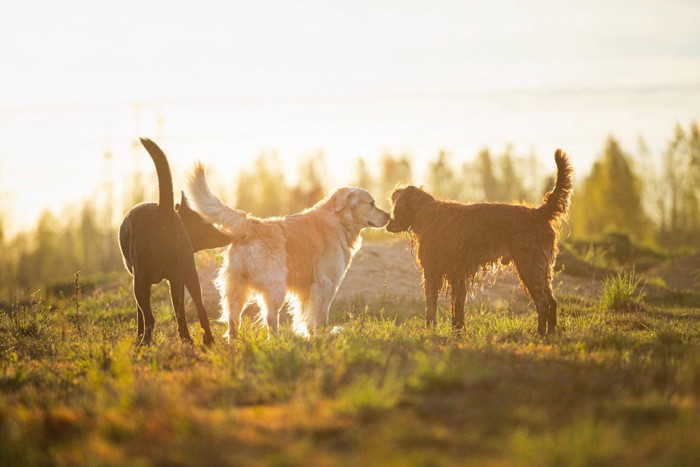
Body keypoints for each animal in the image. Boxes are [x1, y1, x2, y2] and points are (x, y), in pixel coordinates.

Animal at [118, 137, 230, 346]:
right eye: (207, 222)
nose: (228, 235)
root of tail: (164, 211)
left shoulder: (140, 279)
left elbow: (139, 315)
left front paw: (138, 335)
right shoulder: (177, 280)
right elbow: (180, 312)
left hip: (141, 282)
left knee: (150, 318)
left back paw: (145, 343)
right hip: (190, 274)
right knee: (200, 309)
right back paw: (202, 340)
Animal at [186, 165, 392, 340]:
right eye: (372, 203)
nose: (389, 215)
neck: (340, 221)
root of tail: (252, 224)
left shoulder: (306, 289)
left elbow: (306, 315)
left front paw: (310, 336)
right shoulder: (326, 283)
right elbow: (320, 316)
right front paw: (323, 337)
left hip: (237, 287)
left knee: (233, 319)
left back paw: (234, 343)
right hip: (275, 287)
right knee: (270, 318)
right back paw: (276, 341)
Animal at [386, 148, 572, 334]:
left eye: (395, 203)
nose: (388, 221)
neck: (425, 213)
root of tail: (538, 213)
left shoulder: (434, 273)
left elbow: (432, 307)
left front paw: (431, 330)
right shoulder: (457, 275)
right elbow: (457, 307)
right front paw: (458, 331)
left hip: (530, 267)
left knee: (543, 302)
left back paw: (540, 333)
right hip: (541, 269)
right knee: (552, 301)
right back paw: (550, 332)